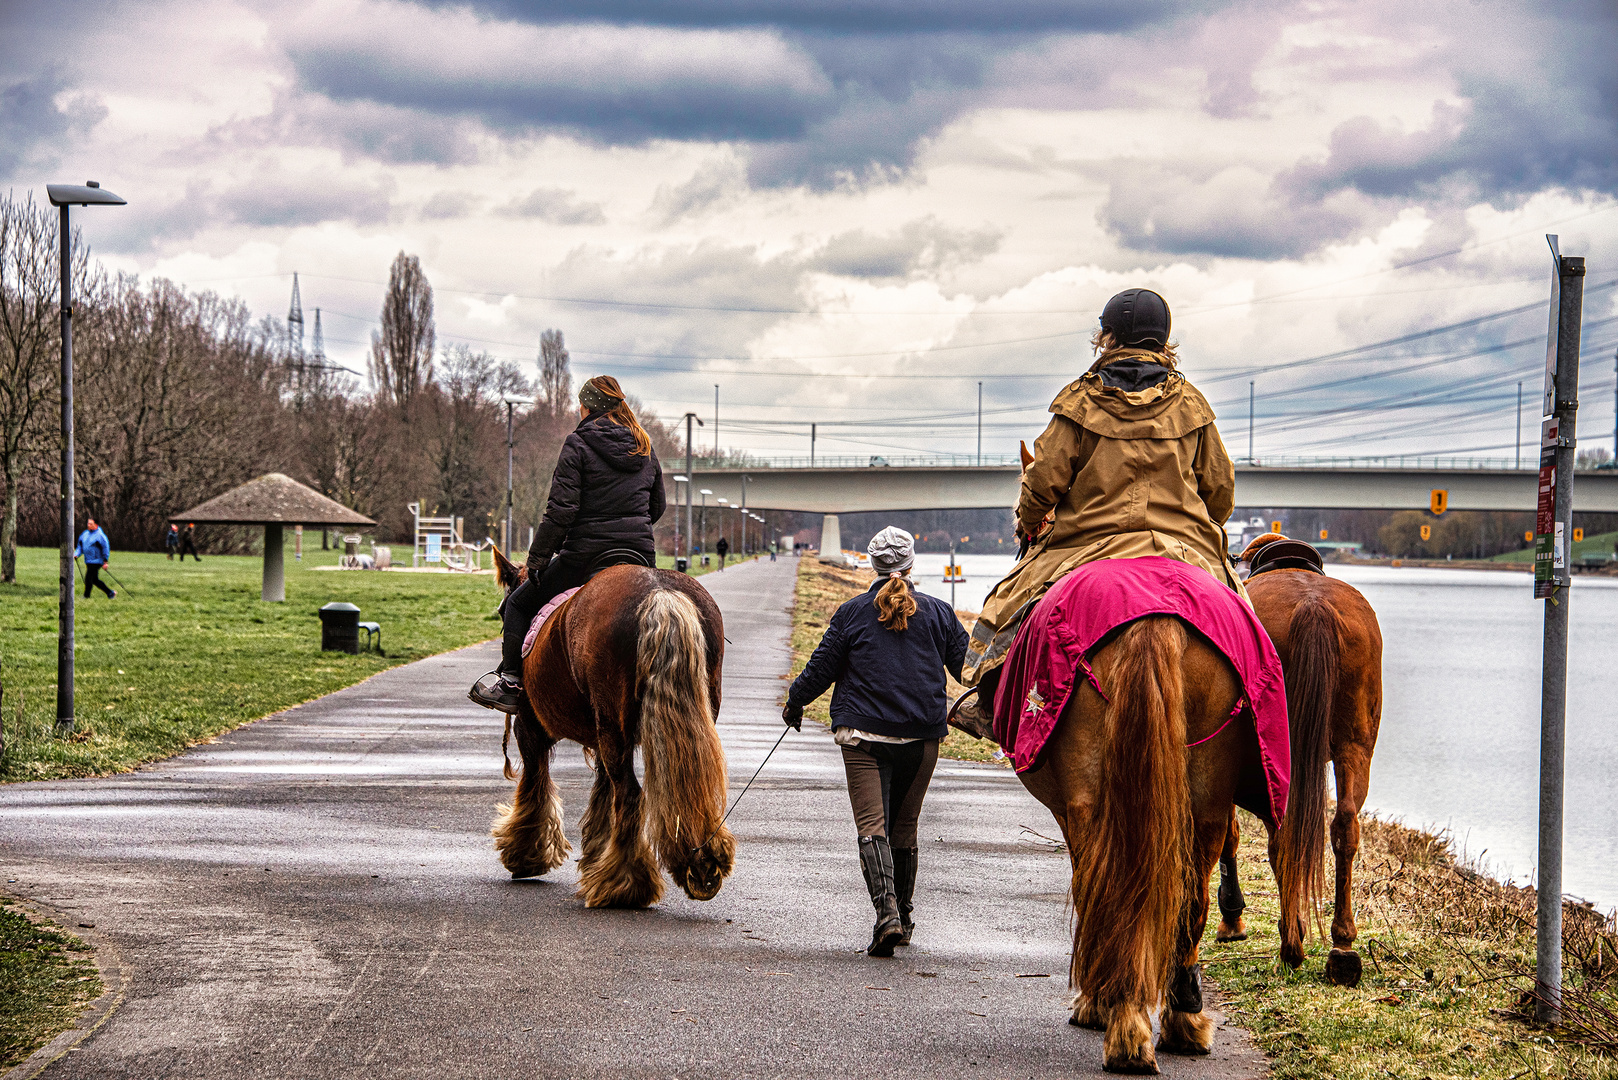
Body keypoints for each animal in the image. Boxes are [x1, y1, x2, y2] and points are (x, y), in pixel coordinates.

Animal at [478, 544, 734, 906]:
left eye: (503, 612)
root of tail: (661, 593)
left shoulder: (530, 727)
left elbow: (535, 784)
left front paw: (527, 854)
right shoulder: (603, 735)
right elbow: (602, 792)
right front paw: (595, 856)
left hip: (609, 727)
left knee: (630, 794)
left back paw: (625, 885)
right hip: (683, 721)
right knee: (686, 786)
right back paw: (699, 865)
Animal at [1022, 612, 1287, 1075]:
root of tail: (1156, 622)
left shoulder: (1068, 812)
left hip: (1090, 801)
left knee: (1101, 894)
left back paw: (1121, 1017)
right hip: (1205, 799)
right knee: (1190, 901)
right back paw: (1179, 1020)